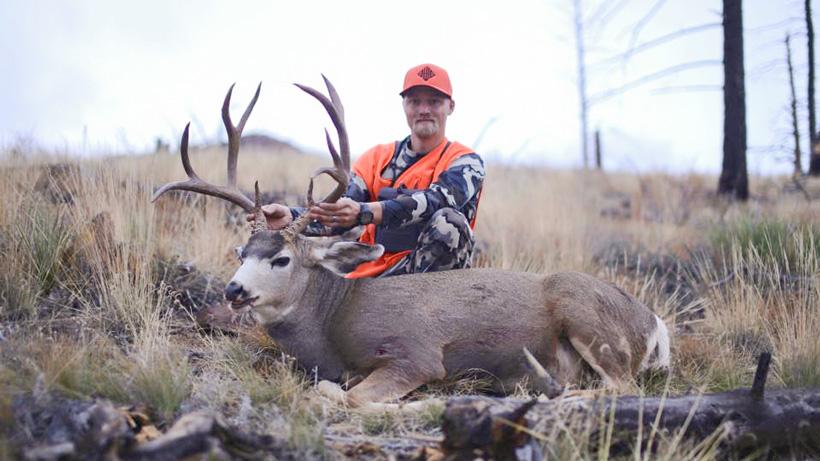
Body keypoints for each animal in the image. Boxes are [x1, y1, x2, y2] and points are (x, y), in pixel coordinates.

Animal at [152, 78, 671, 409]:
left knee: (624, 386)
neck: (334, 322)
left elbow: (345, 397)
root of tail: (655, 325)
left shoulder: (417, 353)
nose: (233, 290)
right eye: (242, 253)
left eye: (280, 259)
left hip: (586, 317)